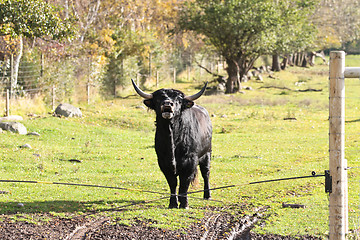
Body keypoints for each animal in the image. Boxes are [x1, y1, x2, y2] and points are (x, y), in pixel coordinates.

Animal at [131, 80, 211, 208]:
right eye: (159, 99)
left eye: (178, 100)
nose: (168, 104)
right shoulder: (164, 163)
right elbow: (172, 183)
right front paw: (173, 203)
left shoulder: (190, 161)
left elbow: (184, 183)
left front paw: (184, 204)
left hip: (207, 154)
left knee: (206, 174)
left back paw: (207, 195)